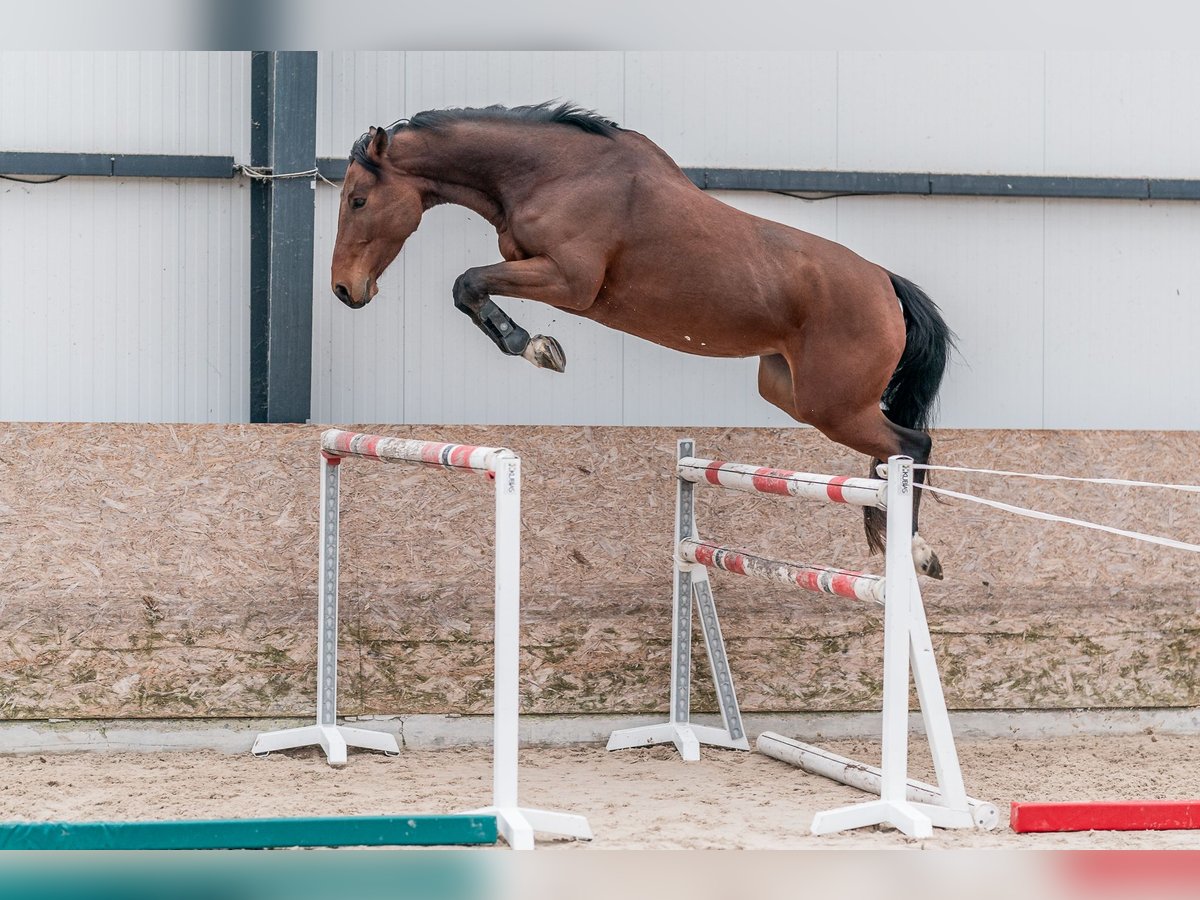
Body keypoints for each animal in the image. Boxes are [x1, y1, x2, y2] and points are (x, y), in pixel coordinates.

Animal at [331, 100, 955, 578]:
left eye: (358, 200)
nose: (344, 290)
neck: (553, 173)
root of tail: (885, 284)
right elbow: (470, 289)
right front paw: (535, 346)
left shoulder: (569, 281)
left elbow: (467, 283)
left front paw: (535, 347)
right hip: (793, 393)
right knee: (889, 452)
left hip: (834, 405)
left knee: (910, 445)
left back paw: (920, 553)